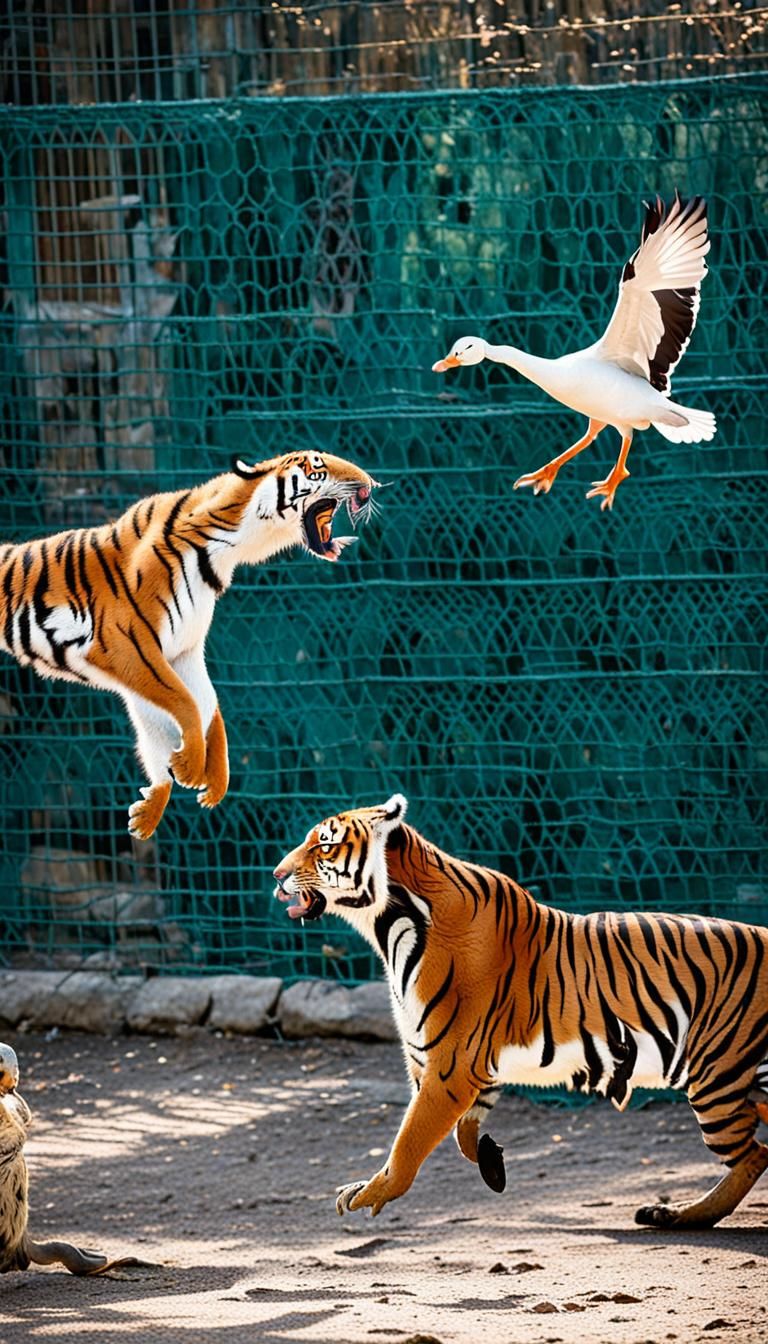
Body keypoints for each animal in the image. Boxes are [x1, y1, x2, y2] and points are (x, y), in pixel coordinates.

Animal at [0, 451, 378, 839]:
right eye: (317, 467)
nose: (370, 485)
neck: (230, 545)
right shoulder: (127, 644)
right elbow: (185, 702)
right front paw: (192, 766)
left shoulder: (182, 651)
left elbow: (206, 703)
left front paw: (214, 778)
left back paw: (148, 812)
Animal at [273, 794, 768, 1229]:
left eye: (323, 845)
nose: (276, 875)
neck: (389, 925)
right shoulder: (468, 1067)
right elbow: (462, 1132)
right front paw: (491, 1160)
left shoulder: (451, 1066)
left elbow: (409, 1141)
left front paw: (368, 1192)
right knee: (756, 1152)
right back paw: (674, 1215)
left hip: (716, 1077)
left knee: (752, 1154)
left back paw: (681, 1215)